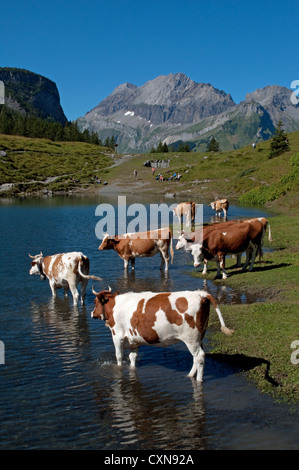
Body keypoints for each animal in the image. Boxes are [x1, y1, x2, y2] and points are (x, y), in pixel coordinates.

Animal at [91, 286, 234, 382]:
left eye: (95, 302)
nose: (92, 313)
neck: (115, 305)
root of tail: (200, 294)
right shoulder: (134, 340)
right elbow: (132, 358)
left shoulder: (117, 335)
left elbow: (119, 357)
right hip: (199, 338)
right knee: (196, 357)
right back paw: (189, 375)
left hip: (191, 338)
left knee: (199, 357)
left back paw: (198, 380)